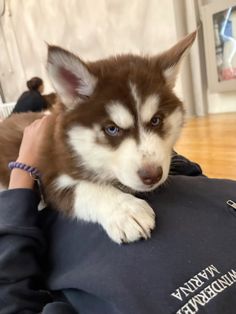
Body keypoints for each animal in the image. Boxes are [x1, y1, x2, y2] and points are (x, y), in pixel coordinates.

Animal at [0, 31, 196, 243]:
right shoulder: (48, 176)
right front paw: (125, 210)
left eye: (156, 120)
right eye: (112, 129)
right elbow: (85, 189)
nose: (152, 175)